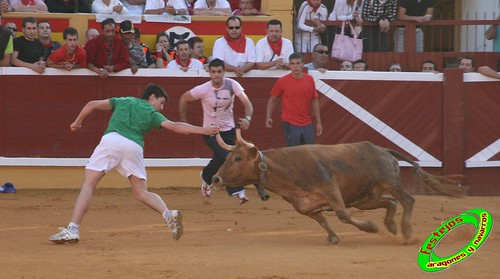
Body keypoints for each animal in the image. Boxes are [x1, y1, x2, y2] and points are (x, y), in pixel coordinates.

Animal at [211, 131, 464, 245]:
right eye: (229, 156)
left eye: (238, 158)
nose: (215, 179)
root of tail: (382, 150)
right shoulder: (305, 207)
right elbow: (323, 220)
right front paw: (333, 238)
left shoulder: (331, 190)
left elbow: (342, 214)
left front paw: (370, 227)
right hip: (365, 198)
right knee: (390, 203)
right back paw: (392, 226)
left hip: (390, 182)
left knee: (407, 200)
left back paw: (406, 231)